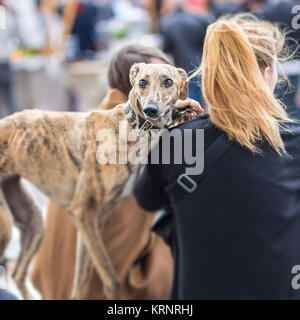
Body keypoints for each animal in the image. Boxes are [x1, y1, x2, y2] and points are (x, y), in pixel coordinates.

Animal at [0, 63, 191, 300]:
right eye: (142, 82)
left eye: (168, 82)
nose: (151, 110)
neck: (131, 128)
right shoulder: (83, 211)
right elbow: (111, 280)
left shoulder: (93, 220)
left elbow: (81, 282)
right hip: (5, 227)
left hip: (32, 221)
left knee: (18, 272)